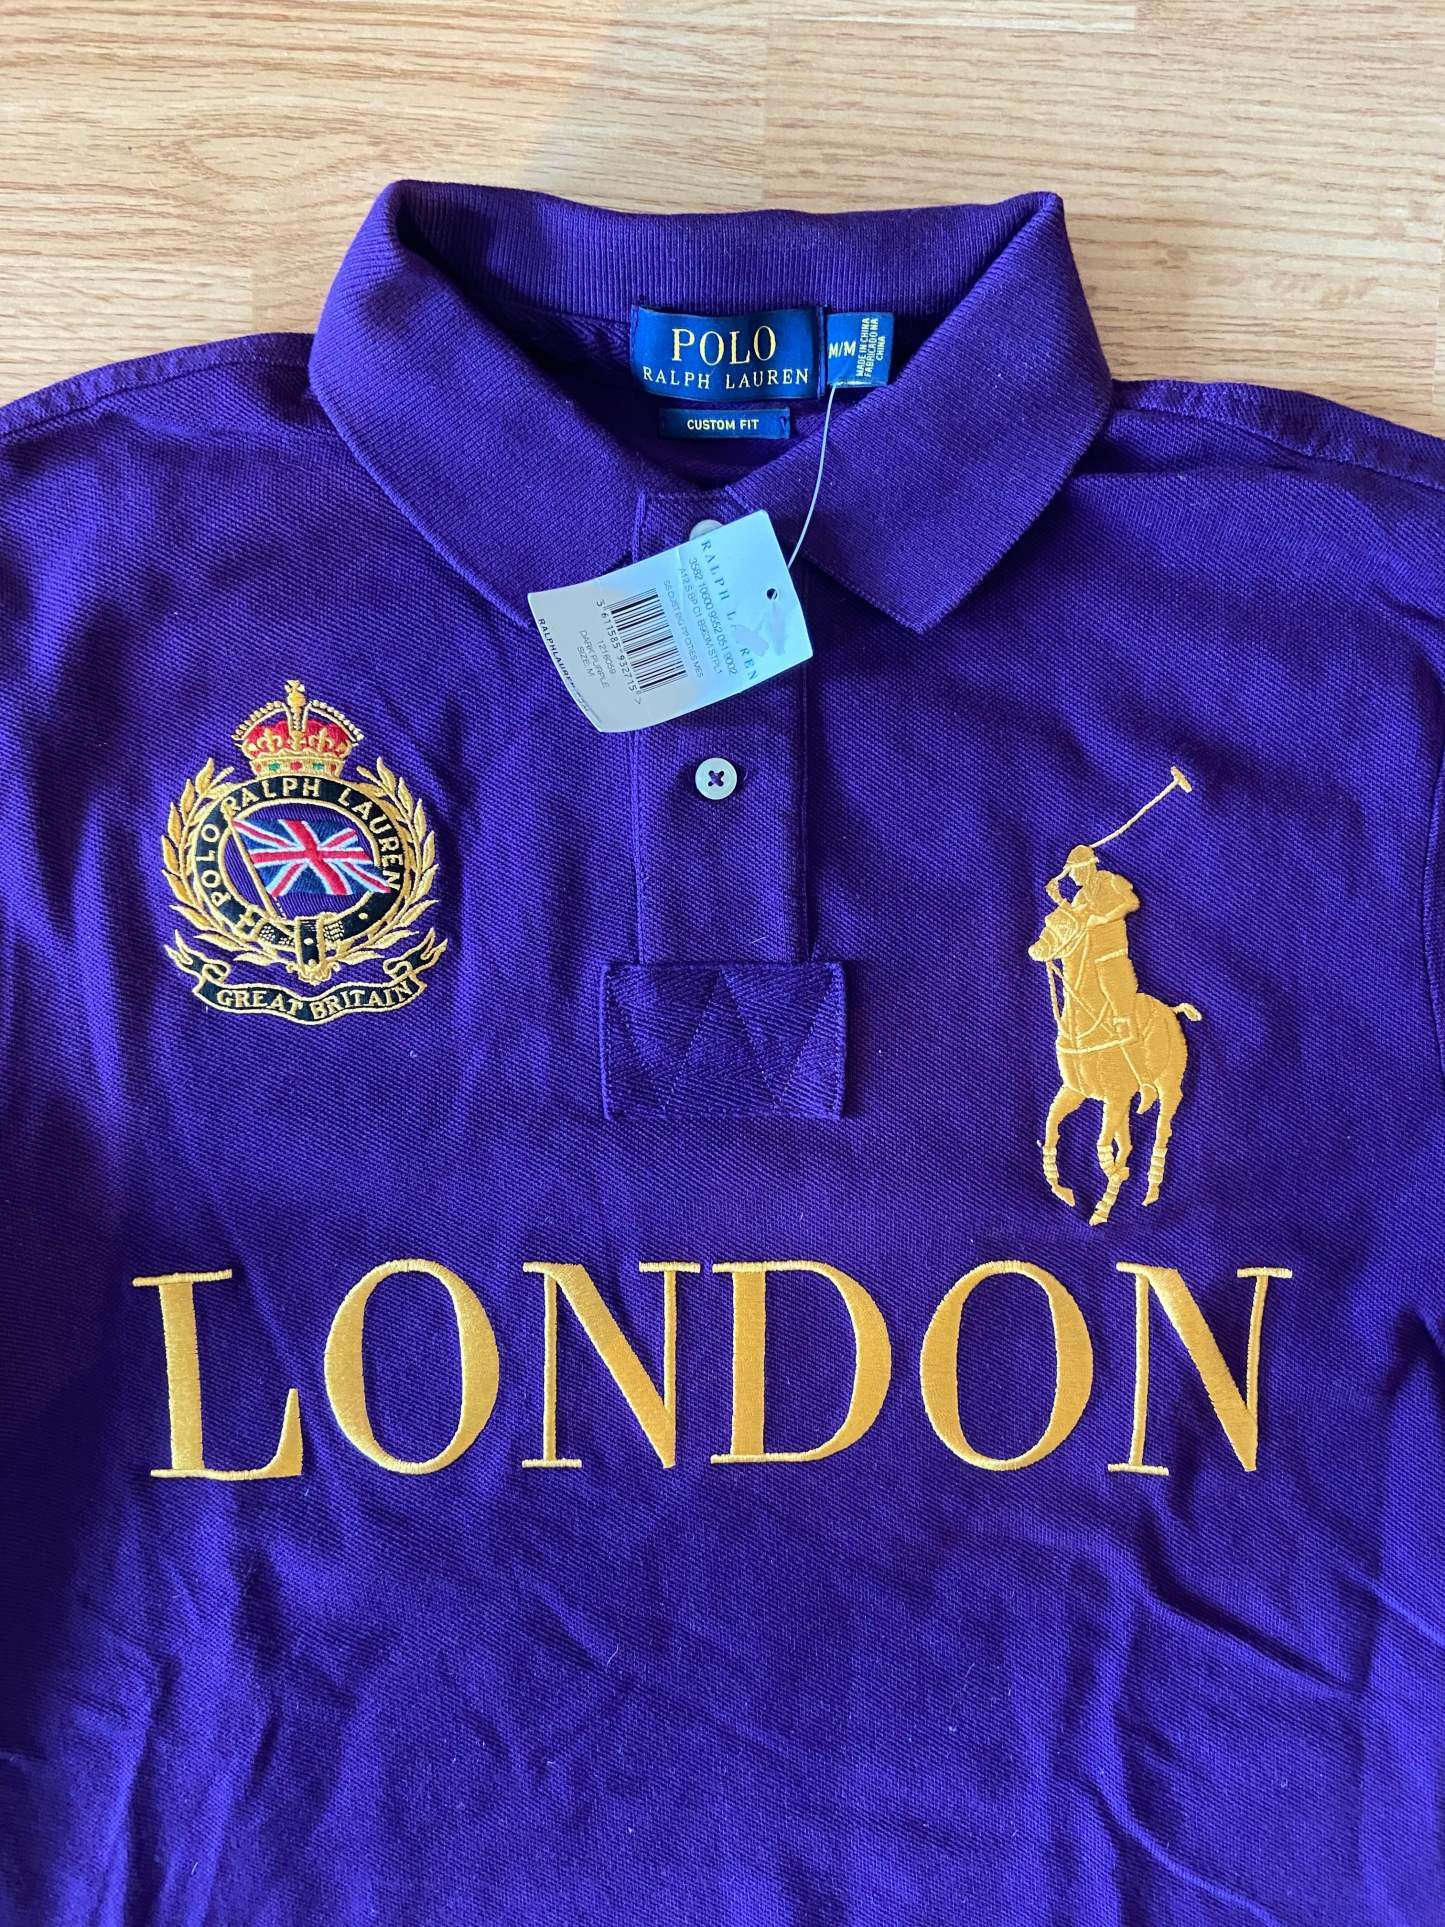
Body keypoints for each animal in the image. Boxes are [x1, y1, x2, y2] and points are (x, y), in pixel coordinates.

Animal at [1027, 900, 1200, 1227]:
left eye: (1066, 926)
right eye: (1048, 919)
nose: (1034, 950)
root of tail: (1172, 1011)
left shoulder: (1116, 1095)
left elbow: (1102, 1147)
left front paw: (1108, 1194)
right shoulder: (1076, 1091)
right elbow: (1052, 1129)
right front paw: (1066, 1192)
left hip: (1168, 1085)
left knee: (1161, 1130)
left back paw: (1150, 1190)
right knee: (1128, 1141)